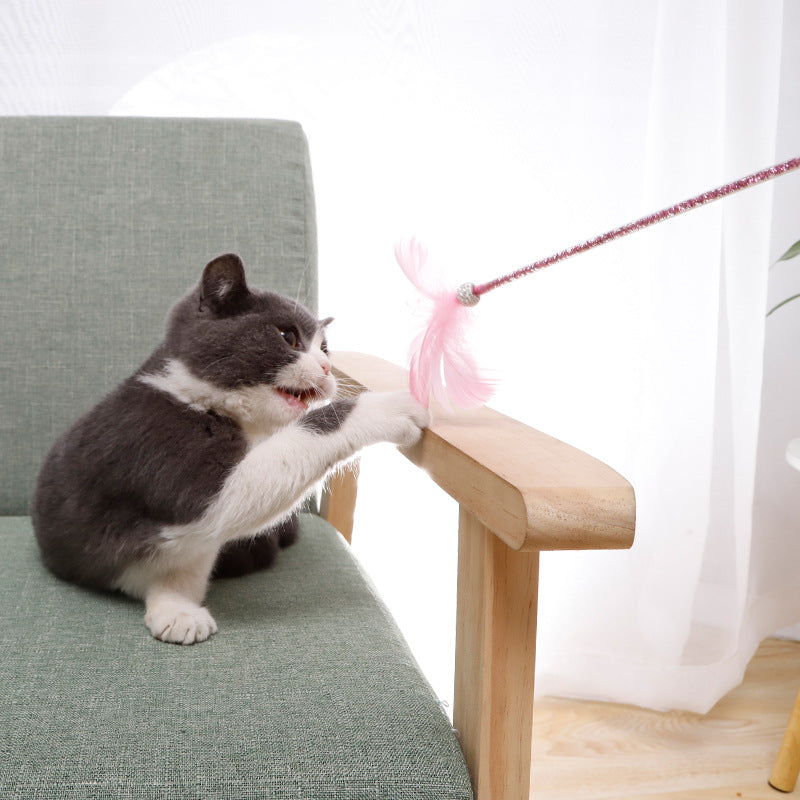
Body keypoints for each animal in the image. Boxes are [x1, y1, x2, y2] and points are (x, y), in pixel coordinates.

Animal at [31, 255, 432, 644]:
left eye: (324, 348)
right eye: (288, 337)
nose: (326, 367)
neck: (201, 399)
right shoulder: (155, 442)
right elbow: (275, 462)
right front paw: (395, 406)